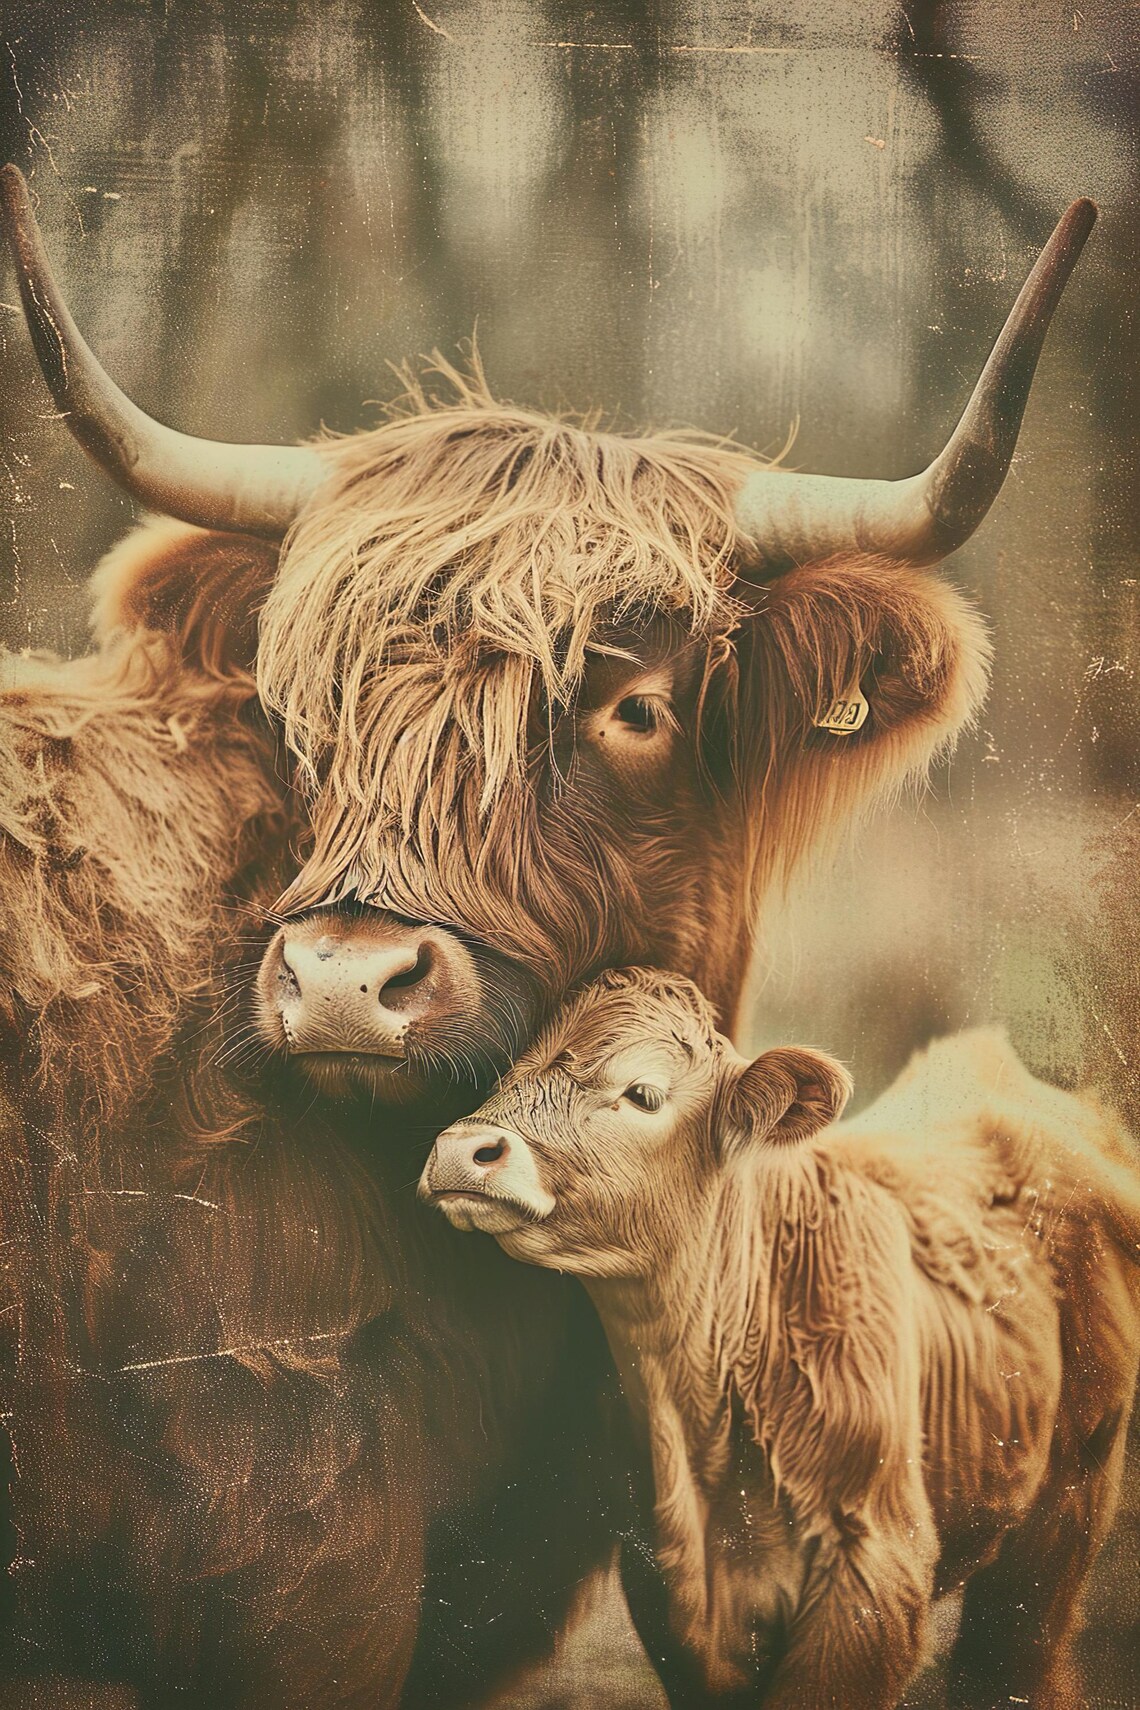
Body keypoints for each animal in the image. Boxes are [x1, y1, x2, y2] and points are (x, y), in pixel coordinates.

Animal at [422, 968, 1140, 1710]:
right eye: (509, 1070)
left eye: (642, 1093)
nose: (462, 1151)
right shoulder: (672, 1598)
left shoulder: (871, 1581)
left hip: (1066, 1507)